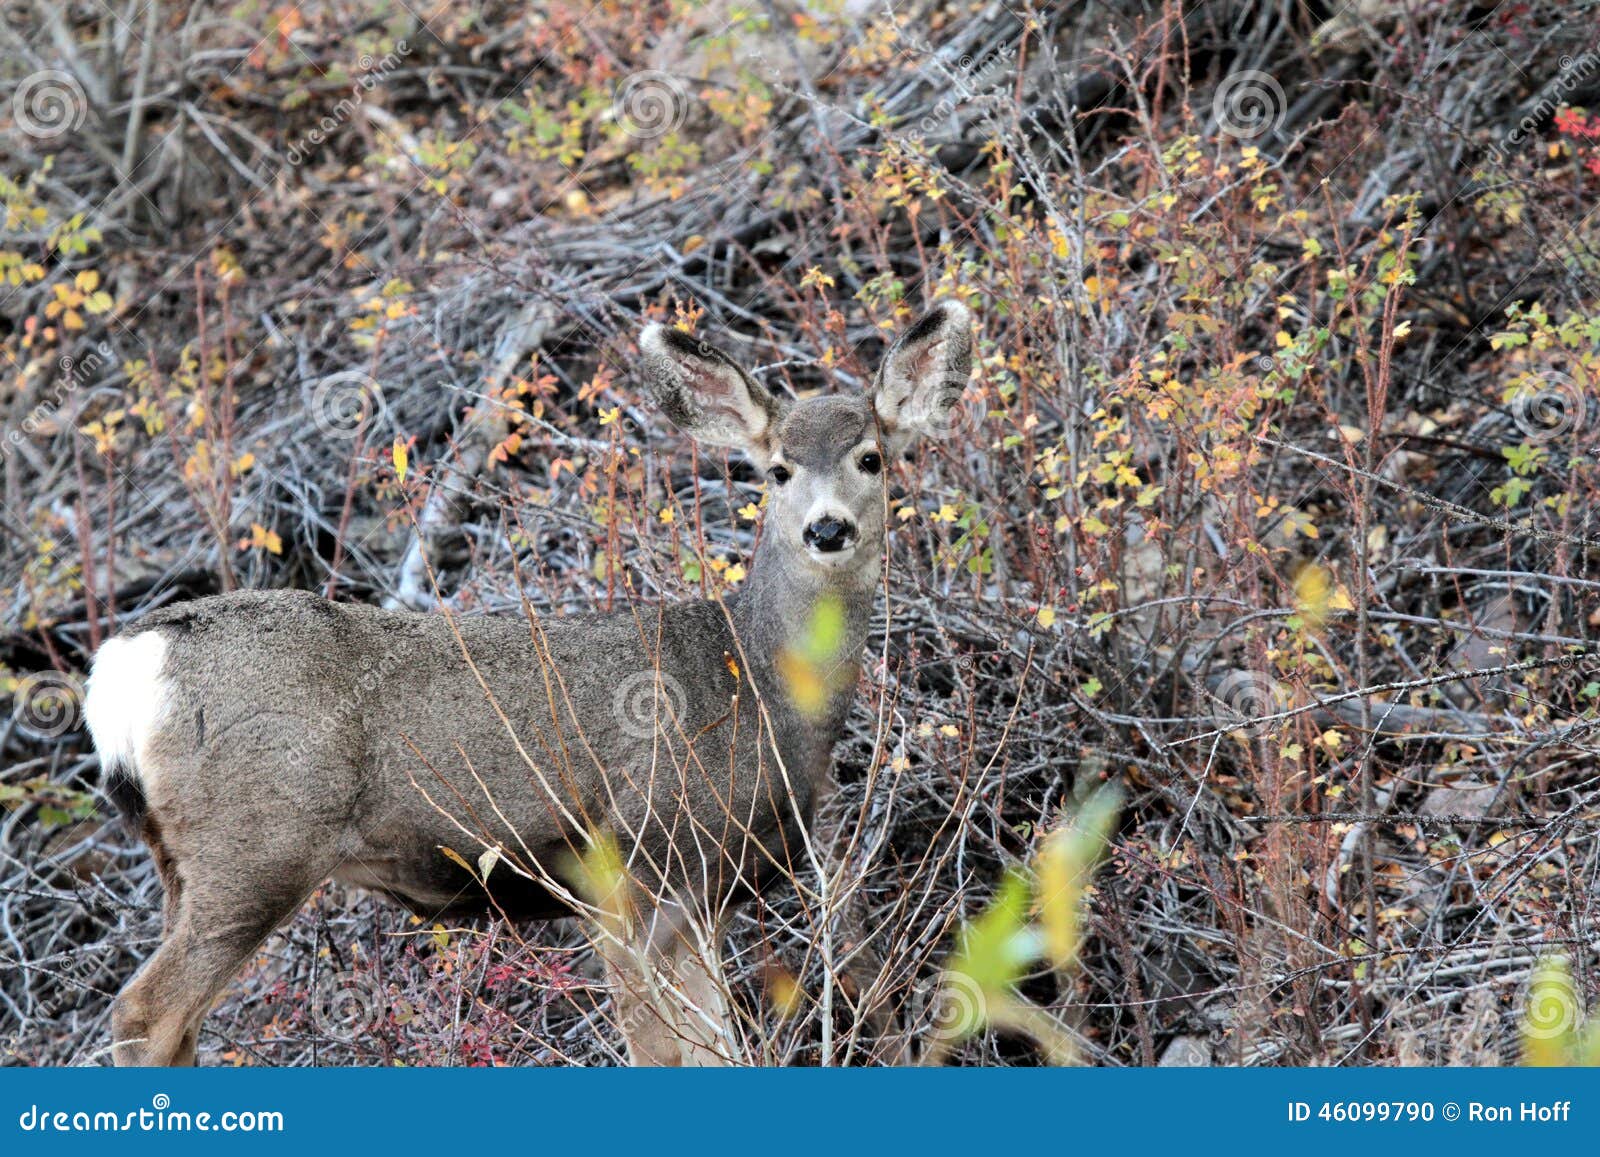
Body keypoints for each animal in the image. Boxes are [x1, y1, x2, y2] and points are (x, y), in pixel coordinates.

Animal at [87, 300, 972, 1068]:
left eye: (871, 458)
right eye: (779, 469)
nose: (827, 527)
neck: (750, 684)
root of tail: (126, 662)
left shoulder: (702, 895)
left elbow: (717, 1046)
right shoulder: (633, 858)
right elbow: (661, 1049)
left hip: (185, 863)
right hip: (259, 845)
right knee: (142, 1009)